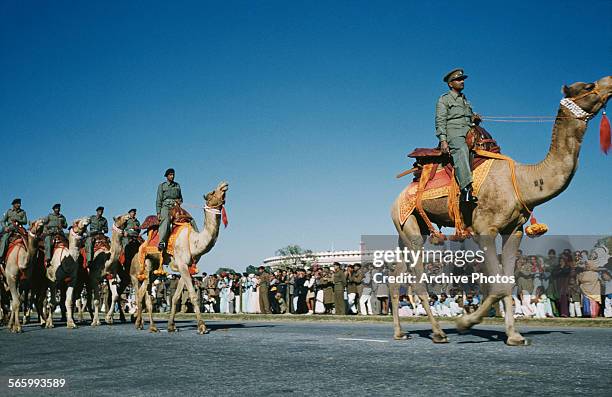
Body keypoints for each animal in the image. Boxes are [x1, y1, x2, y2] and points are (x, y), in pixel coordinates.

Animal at [130, 181, 228, 332]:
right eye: (212, 192)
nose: (224, 184)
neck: (194, 241)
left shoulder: (186, 267)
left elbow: (175, 297)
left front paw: (171, 326)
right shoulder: (182, 264)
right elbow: (193, 295)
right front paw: (202, 326)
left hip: (153, 269)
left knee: (145, 294)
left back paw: (147, 325)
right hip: (145, 265)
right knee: (142, 294)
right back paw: (143, 325)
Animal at [392, 76, 612, 344]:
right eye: (589, 86)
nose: (610, 81)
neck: (525, 180)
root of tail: (398, 197)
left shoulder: (514, 230)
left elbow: (507, 281)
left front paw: (514, 335)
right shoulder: (484, 229)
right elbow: (496, 284)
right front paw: (465, 322)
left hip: (412, 228)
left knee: (396, 277)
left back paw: (400, 332)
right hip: (408, 224)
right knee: (417, 279)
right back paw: (438, 333)